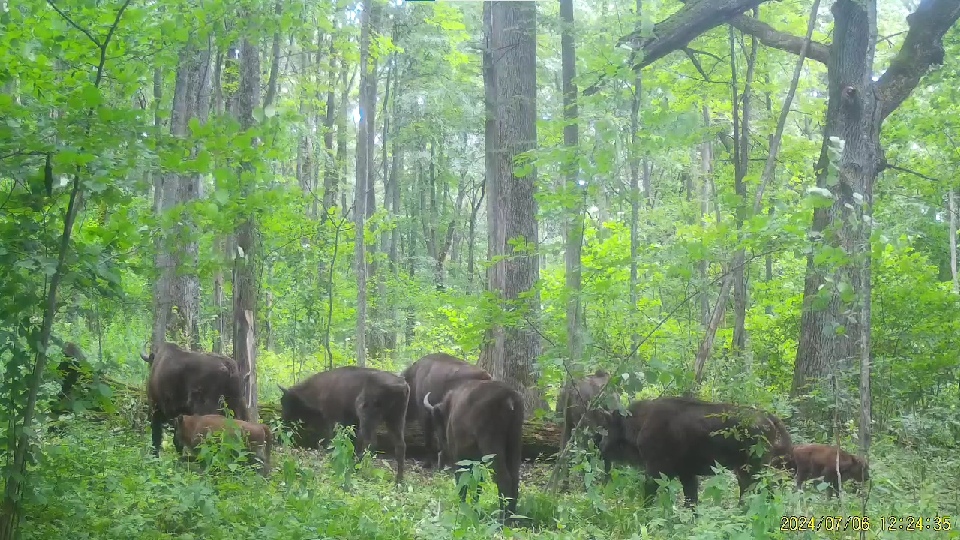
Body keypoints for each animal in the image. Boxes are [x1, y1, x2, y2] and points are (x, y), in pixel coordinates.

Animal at [280, 364, 410, 484]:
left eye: (285, 401)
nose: (283, 419)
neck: (319, 389)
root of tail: (401, 385)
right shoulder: (351, 421)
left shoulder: (334, 418)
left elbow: (334, 439)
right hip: (396, 419)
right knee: (400, 445)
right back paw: (399, 481)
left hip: (367, 414)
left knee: (370, 442)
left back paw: (358, 469)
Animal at [422, 378, 520, 520]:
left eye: (437, 422)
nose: (441, 446)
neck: (450, 407)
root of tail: (509, 396)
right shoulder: (478, 462)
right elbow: (478, 484)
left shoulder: (459, 458)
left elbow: (461, 482)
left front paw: (461, 510)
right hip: (514, 444)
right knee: (515, 478)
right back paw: (512, 516)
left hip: (492, 449)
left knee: (504, 479)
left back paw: (502, 519)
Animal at [600, 396, 796, 506]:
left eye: (607, 428)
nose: (601, 447)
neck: (640, 422)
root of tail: (769, 418)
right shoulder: (687, 474)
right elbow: (691, 501)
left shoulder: (655, 471)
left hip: (751, 470)